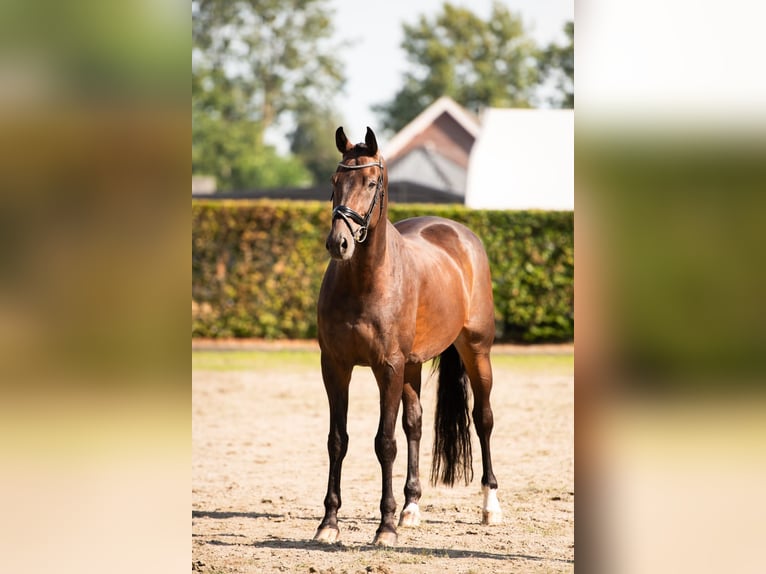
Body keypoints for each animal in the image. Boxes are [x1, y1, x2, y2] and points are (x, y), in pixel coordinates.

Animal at [314, 126, 502, 547]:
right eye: (334, 182)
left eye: (371, 183)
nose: (339, 243)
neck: (365, 282)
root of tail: (457, 231)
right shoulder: (335, 367)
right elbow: (337, 440)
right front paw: (329, 523)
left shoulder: (387, 368)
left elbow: (385, 443)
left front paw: (385, 529)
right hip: (412, 366)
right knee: (415, 423)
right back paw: (411, 507)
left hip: (476, 351)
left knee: (483, 418)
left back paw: (490, 505)